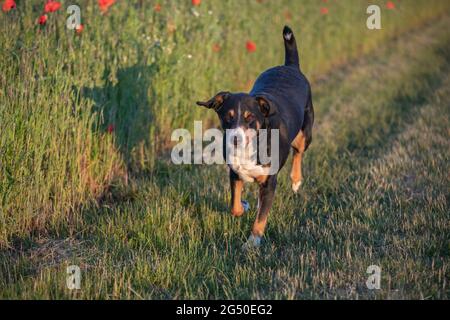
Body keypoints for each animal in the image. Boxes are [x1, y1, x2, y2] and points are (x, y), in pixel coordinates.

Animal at [197, 26, 312, 249]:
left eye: (250, 118)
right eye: (227, 117)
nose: (235, 139)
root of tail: (289, 67)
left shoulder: (269, 182)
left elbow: (261, 217)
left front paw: (252, 242)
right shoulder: (234, 173)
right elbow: (234, 206)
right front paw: (244, 204)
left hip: (305, 132)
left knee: (298, 152)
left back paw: (296, 181)